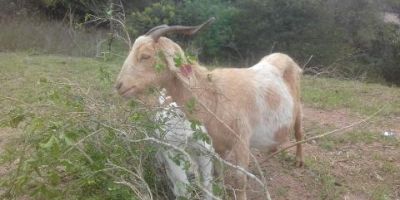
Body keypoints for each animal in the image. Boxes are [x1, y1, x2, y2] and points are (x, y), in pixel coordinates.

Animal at [115, 18, 304, 199]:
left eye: (145, 56)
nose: (119, 86)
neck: (214, 96)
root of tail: (284, 58)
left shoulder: (242, 141)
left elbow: (239, 180)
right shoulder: (216, 144)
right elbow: (217, 172)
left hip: (298, 110)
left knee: (299, 132)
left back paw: (299, 161)